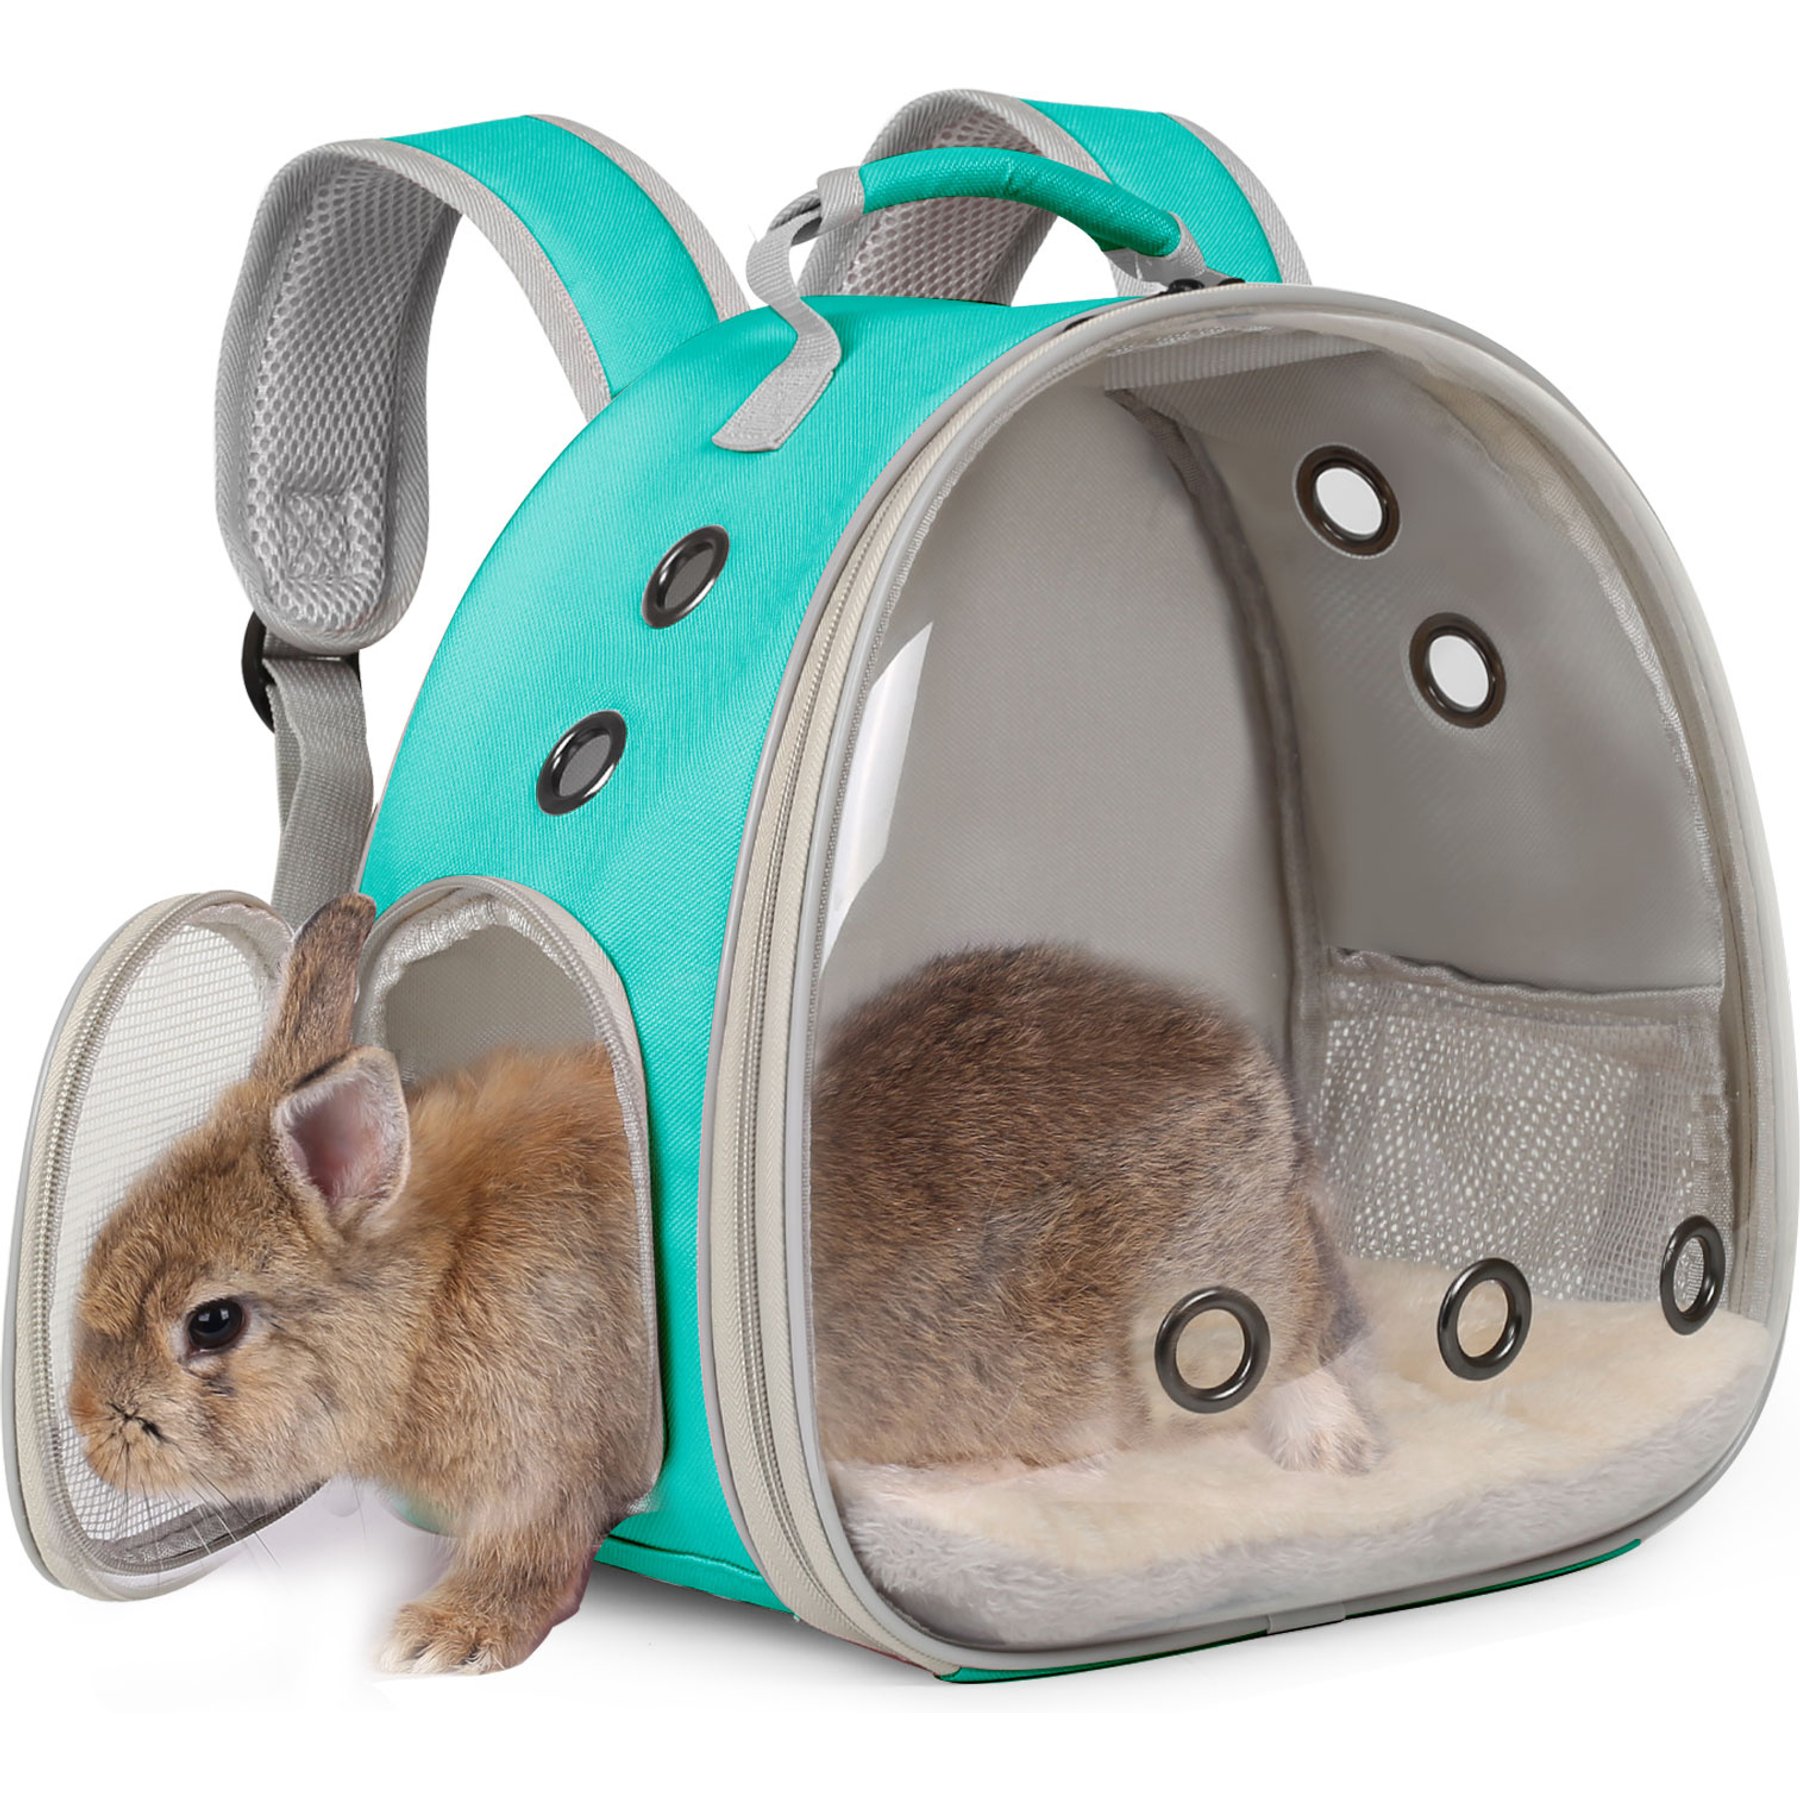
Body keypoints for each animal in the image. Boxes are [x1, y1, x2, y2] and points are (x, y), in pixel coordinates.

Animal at [67, 894, 657, 1675]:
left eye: (213, 1323)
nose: (94, 1438)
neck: (429, 1305)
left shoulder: (547, 1455)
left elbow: (530, 1554)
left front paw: (440, 1641)